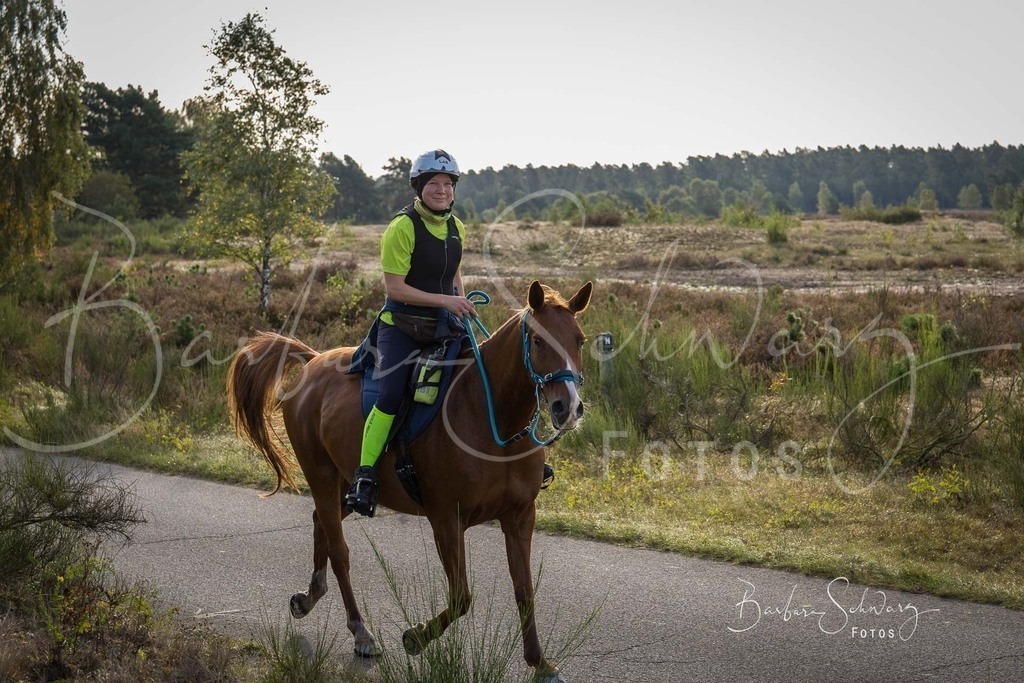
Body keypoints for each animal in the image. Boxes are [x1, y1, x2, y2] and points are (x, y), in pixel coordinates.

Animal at [227, 280, 593, 682]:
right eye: (539, 341)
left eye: (580, 340)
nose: (567, 407)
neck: (492, 416)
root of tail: (313, 360)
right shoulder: (447, 519)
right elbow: (461, 596)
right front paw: (416, 637)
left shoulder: (519, 517)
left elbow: (525, 591)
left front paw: (540, 663)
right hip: (321, 476)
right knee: (339, 551)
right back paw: (361, 632)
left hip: (344, 486)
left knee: (320, 523)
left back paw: (308, 598)